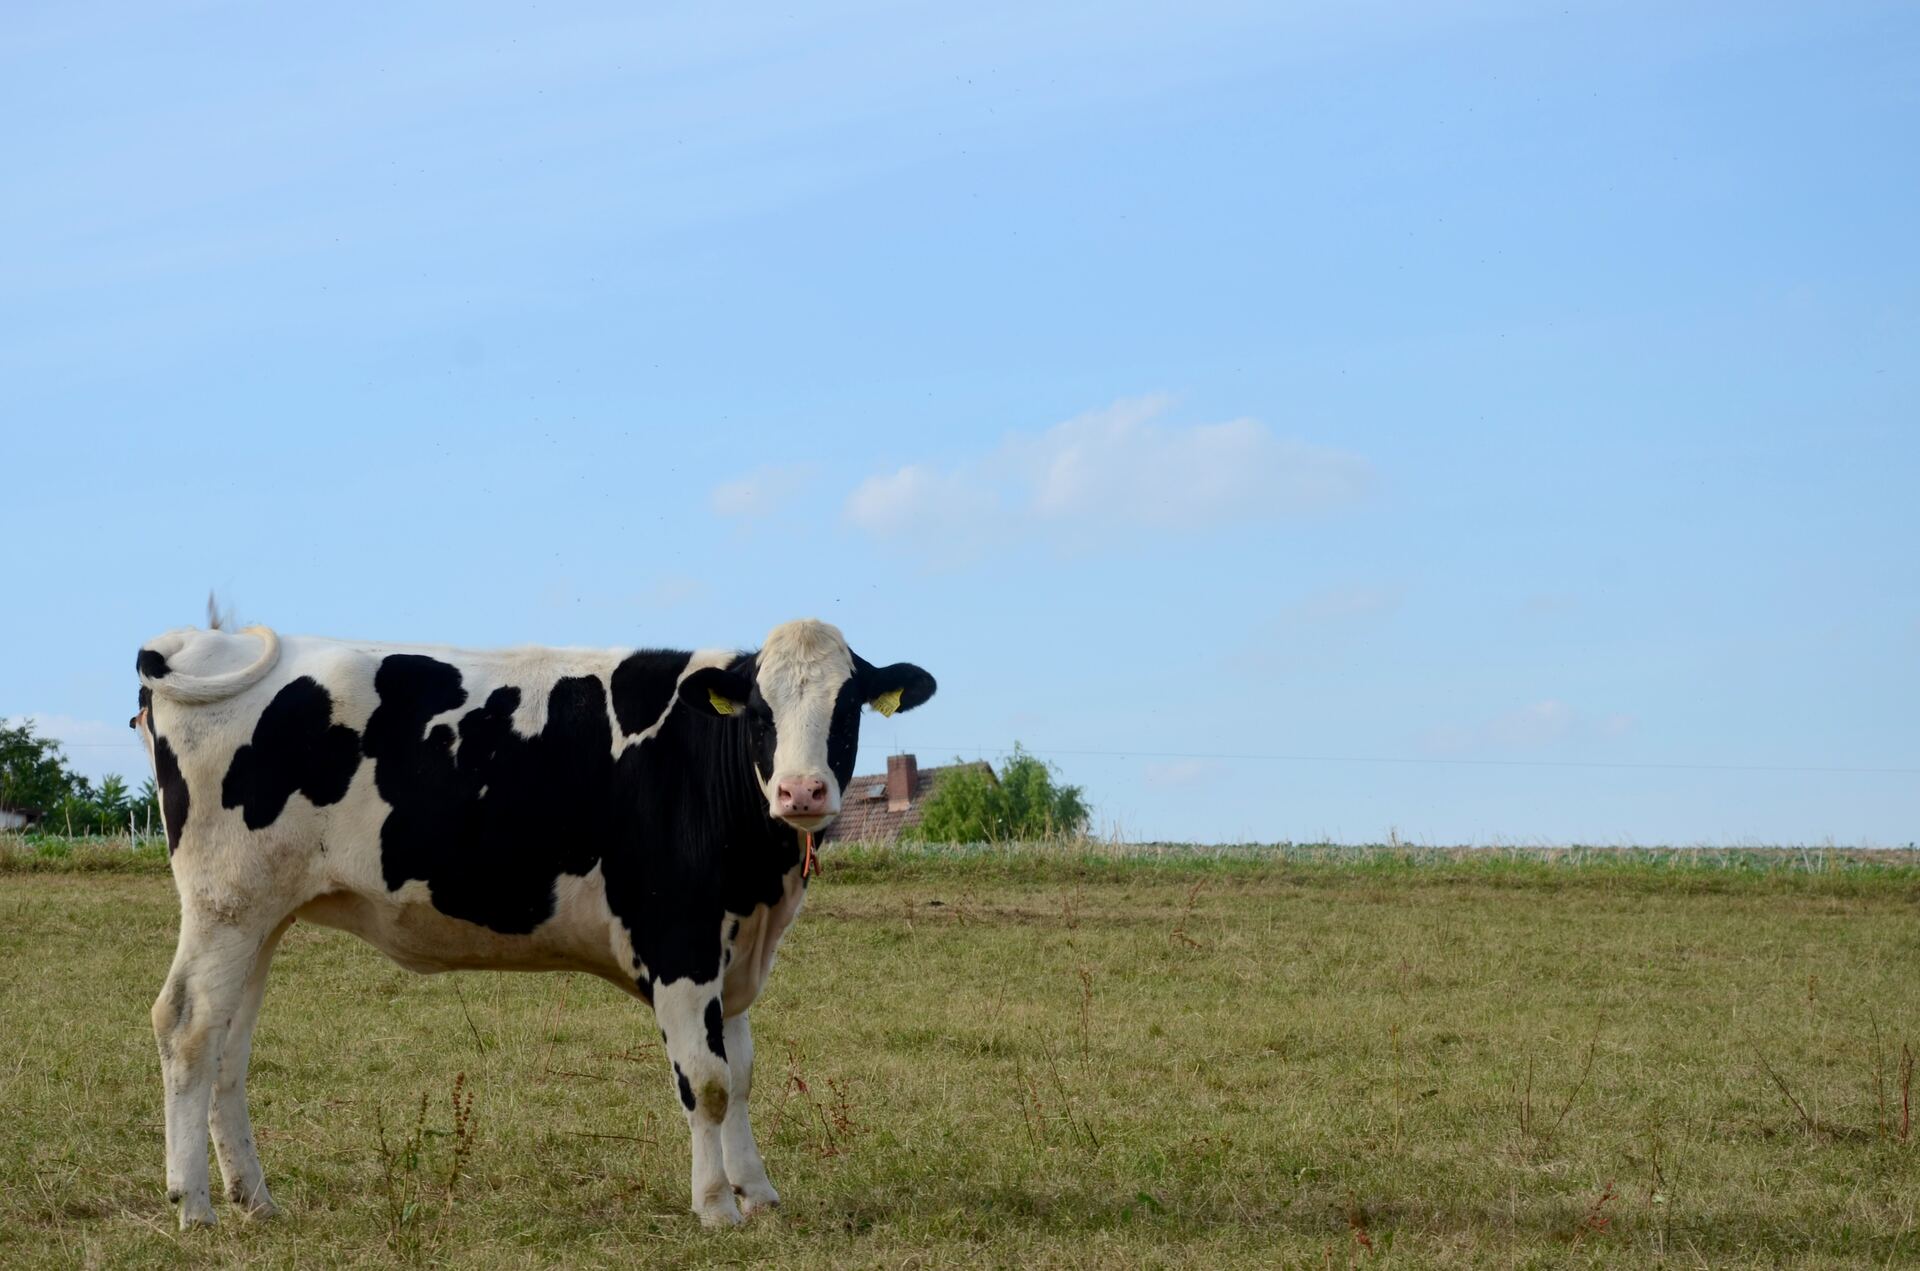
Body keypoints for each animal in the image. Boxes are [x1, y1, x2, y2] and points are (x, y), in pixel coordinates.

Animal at [129, 618, 936, 1236]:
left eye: (847, 709)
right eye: (762, 713)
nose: (803, 791)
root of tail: (199, 642)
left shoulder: (731, 953)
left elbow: (738, 1075)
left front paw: (759, 1193)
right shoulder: (679, 941)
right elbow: (705, 1082)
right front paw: (715, 1207)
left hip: (261, 915)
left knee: (228, 1045)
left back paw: (255, 1199)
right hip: (225, 903)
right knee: (186, 1026)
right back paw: (194, 1206)